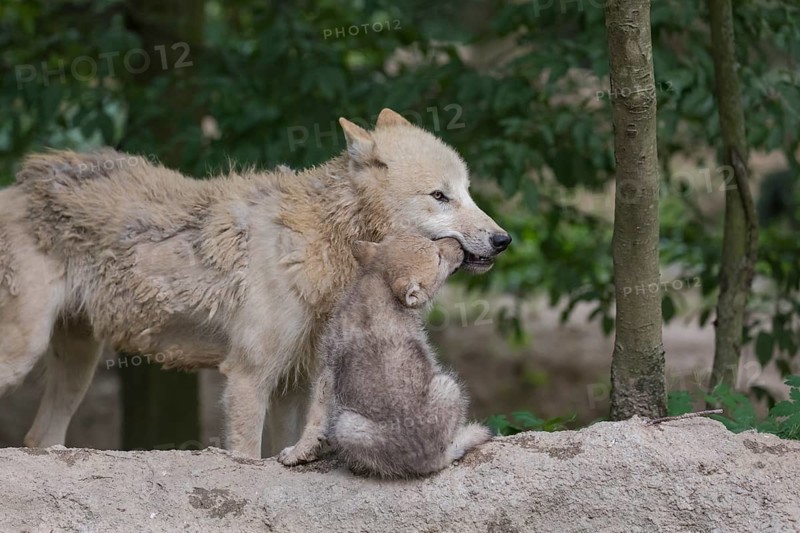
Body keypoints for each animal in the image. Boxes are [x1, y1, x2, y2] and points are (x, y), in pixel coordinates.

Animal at [278, 234, 492, 477]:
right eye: (438, 257)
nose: (456, 242)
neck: (378, 284)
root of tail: (428, 457)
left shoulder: (328, 369)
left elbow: (314, 417)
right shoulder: (327, 370)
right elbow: (314, 418)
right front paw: (298, 452)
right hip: (446, 385)